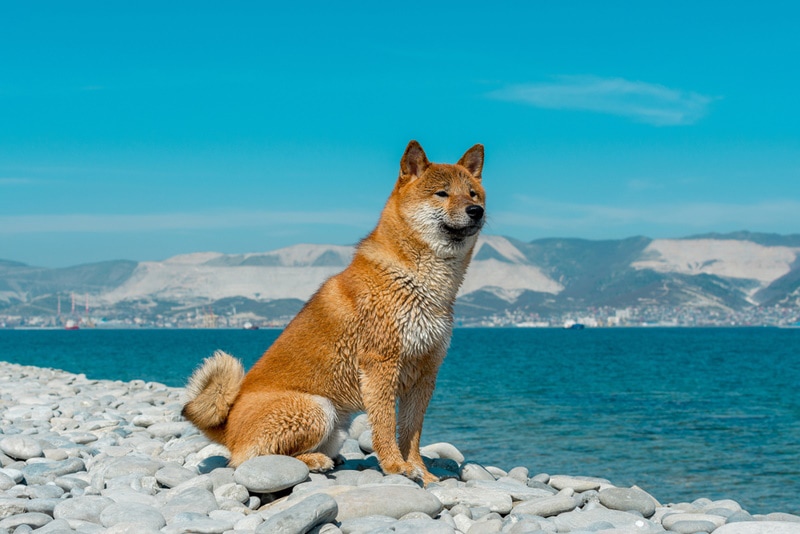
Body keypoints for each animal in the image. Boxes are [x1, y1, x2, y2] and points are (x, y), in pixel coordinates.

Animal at [183, 142, 482, 486]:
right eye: (442, 193)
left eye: (473, 194)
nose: (476, 211)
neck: (418, 281)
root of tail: (228, 426)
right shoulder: (381, 365)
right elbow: (384, 425)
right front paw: (396, 466)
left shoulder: (425, 372)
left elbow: (411, 432)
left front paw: (423, 472)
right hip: (316, 408)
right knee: (250, 459)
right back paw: (313, 461)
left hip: (336, 428)